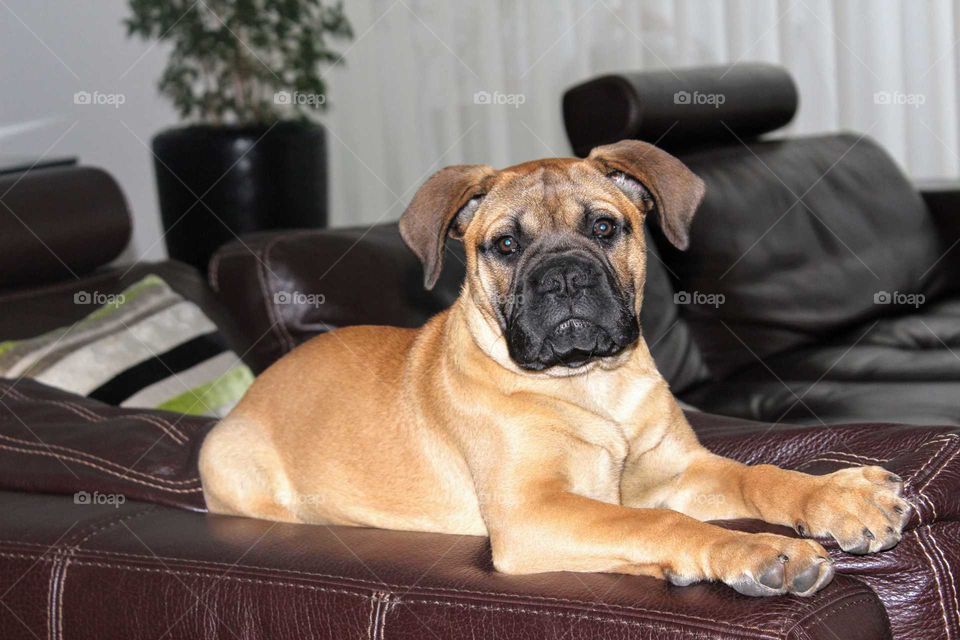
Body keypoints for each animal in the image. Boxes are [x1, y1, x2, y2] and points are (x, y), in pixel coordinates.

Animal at [201, 139, 908, 596]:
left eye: (605, 227)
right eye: (505, 245)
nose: (564, 277)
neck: (591, 384)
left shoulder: (677, 468)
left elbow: (759, 475)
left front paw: (840, 496)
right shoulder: (530, 511)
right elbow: (654, 519)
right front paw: (761, 548)